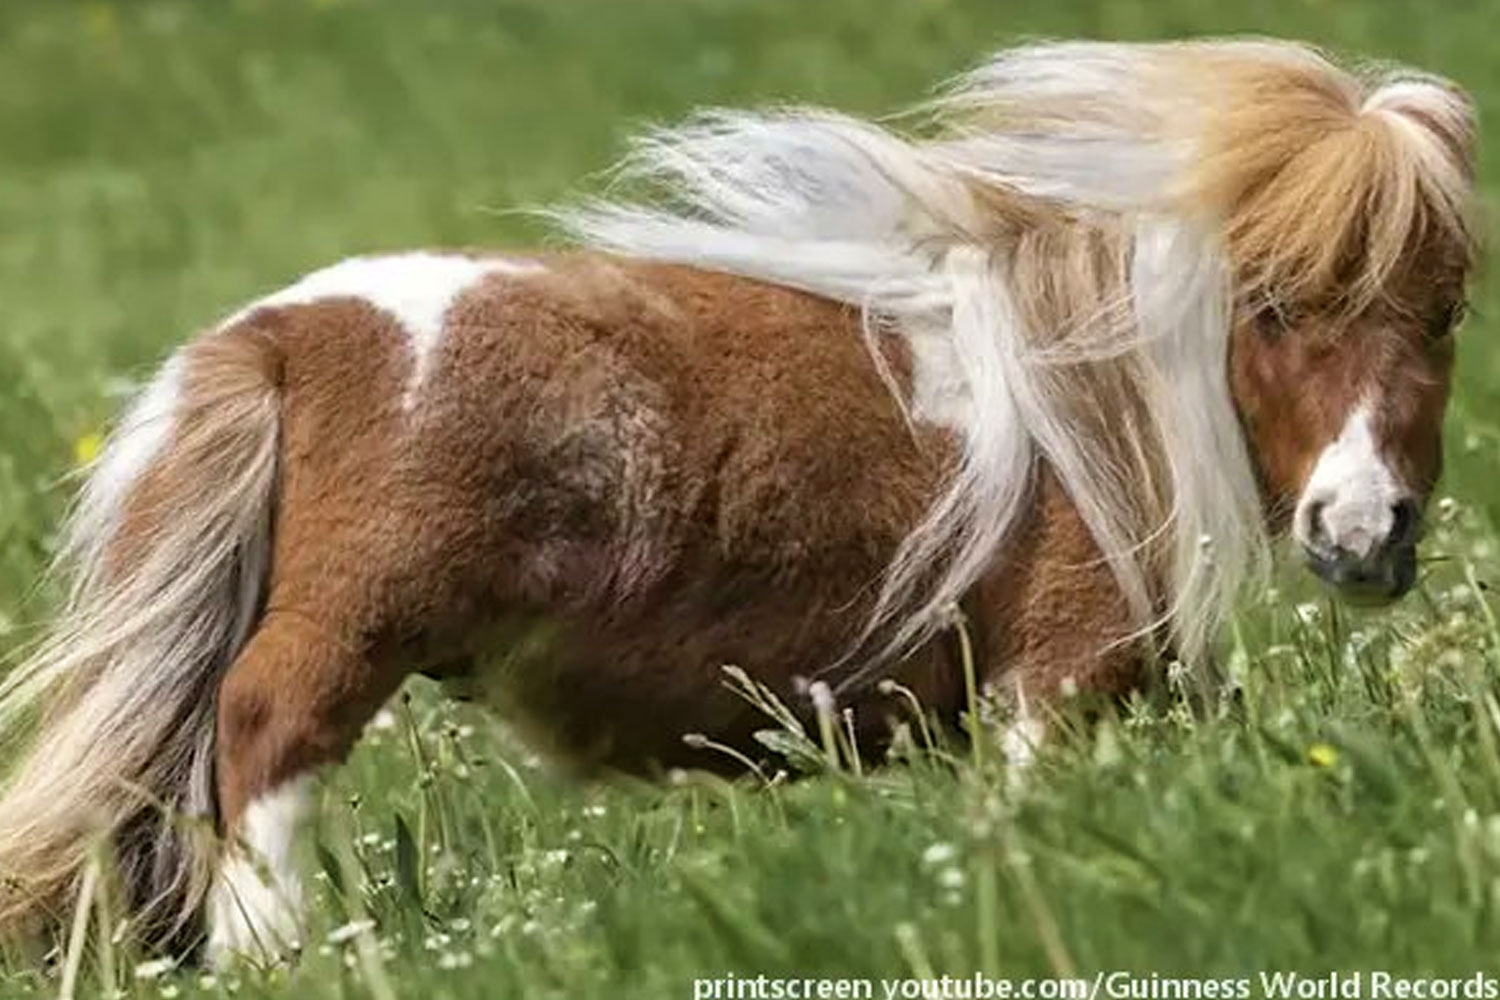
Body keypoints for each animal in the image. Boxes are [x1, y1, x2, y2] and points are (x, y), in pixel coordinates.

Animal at [0, 39, 1478, 965]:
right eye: (1273, 308)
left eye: (1447, 313)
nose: (1364, 530)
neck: (1085, 408)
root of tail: (279, 337)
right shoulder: (1052, 684)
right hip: (341, 641)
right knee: (260, 747)